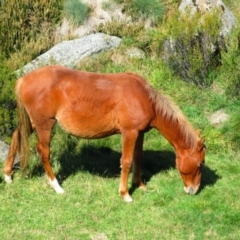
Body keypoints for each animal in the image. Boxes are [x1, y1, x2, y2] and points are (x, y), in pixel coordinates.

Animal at [2, 65, 205, 202]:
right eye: (200, 164)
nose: (193, 190)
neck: (144, 97)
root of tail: (23, 79)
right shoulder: (129, 133)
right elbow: (126, 161)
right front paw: (125, 194)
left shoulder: (139, 133)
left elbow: (138, 157)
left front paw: (139, 184)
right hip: (45, 125)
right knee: (44, 152)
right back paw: (56, 186)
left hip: (31, 123)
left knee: (16, 137)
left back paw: (7, 175)